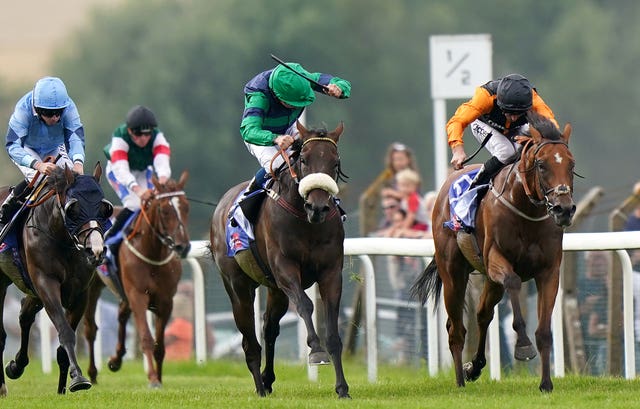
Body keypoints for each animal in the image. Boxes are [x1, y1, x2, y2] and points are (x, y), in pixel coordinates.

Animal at [0, 163, 111, 396]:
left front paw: (63, 388)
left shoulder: (79, 293)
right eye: (73, 209)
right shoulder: (46, 283)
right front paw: (78, 378)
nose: (96, 251)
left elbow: (62, 344)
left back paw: (17, 365)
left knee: (25, 315)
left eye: (104, 207)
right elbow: (65, 331)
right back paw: (3, 386)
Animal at [82, 171, 190, 388]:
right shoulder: (138, 295)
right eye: (165, 210)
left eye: (186, 207)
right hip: (93, 287)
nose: (183, 246)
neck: (152, 252)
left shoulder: (166, 301)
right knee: (90, 328)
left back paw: (115, 360)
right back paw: (93, 373)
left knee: (122, 314)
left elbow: (160, 345)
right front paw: (153, 378)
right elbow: (146, 338)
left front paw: (160, 377)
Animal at [210, 120, 350, 396]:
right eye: (304, 160)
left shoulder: (331, 272)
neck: (306, 222)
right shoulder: (285, 269)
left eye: (335, 162)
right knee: (249, 339)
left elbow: (332, 328)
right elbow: (305, 305)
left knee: (269, 328)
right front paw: (315, 351)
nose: (318, 207)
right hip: (237, 285)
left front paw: (342, 388)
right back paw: (259, 386)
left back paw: (267, 378)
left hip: (275, 289)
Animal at [412, 112, 576, 392]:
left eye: (571, 164)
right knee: (456, 329)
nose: (563, 209)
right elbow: (513, 282)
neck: (526, 209)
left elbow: (544, 331)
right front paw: (523, 346)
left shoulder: (549, 271)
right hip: (453, 273)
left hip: (489, 281)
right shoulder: (495, 260)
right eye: (542, 165)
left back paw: (474, 367)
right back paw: (459, 380)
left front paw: (546, 383)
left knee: (482, 315)